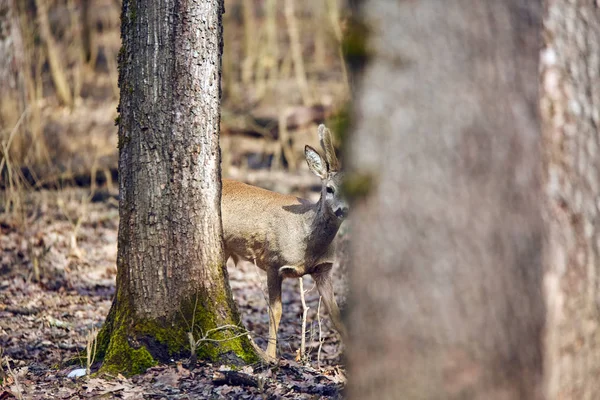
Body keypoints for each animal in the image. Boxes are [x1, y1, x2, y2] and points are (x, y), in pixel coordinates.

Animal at [223, 124, 350, 360]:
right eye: (329, 189)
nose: (343, 210)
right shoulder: (273, 262)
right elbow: (275, 310)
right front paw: (270, 356)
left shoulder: (323, 270)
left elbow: (335, 314)